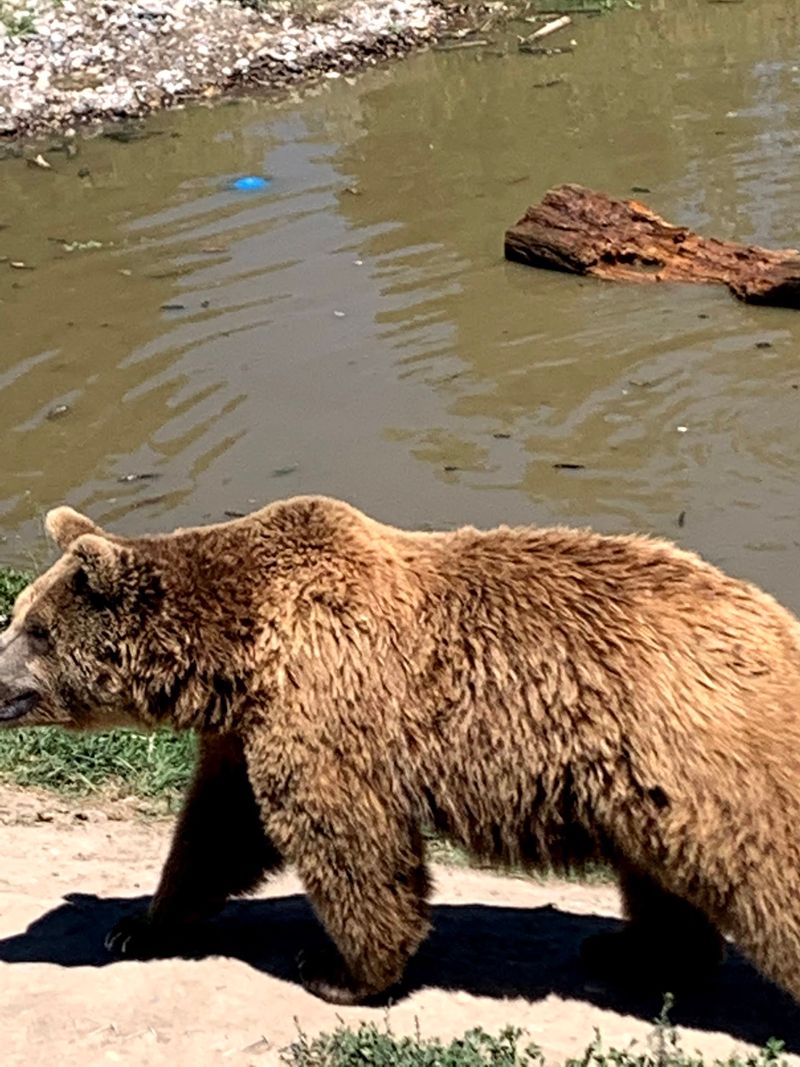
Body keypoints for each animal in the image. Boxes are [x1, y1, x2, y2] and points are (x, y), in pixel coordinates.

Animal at [0, 494, 799, 1006]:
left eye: (35, 629)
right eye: (19, 614)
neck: (237, 653)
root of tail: (778, 624)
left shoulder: (327, 701)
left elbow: (347, 838)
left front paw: (337, 968)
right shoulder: (245, 730)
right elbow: (215, 832)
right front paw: (137, 925)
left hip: (710, 760)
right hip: (650, 787)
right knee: (660, 879)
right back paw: (636, 952)